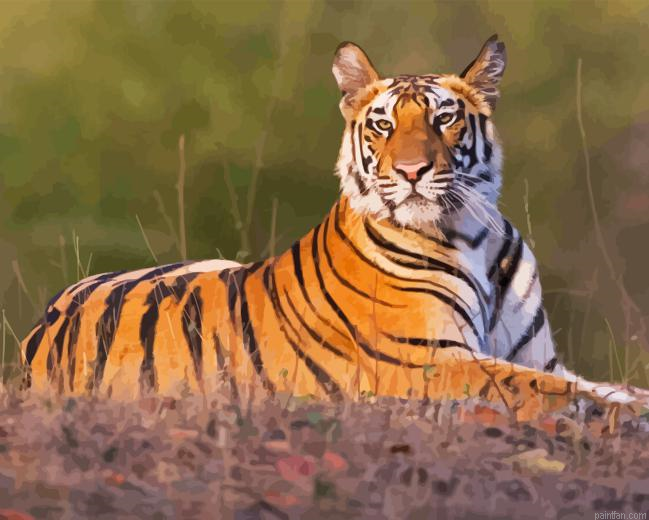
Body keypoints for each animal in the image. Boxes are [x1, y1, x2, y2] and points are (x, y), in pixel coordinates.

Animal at [20, 35, 649, 420]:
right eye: (383, 124)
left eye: (444, 118)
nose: (412, 171)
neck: (474, 233)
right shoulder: (431, 361)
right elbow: (556, 392)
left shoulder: (536, 356)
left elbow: (590, 383)